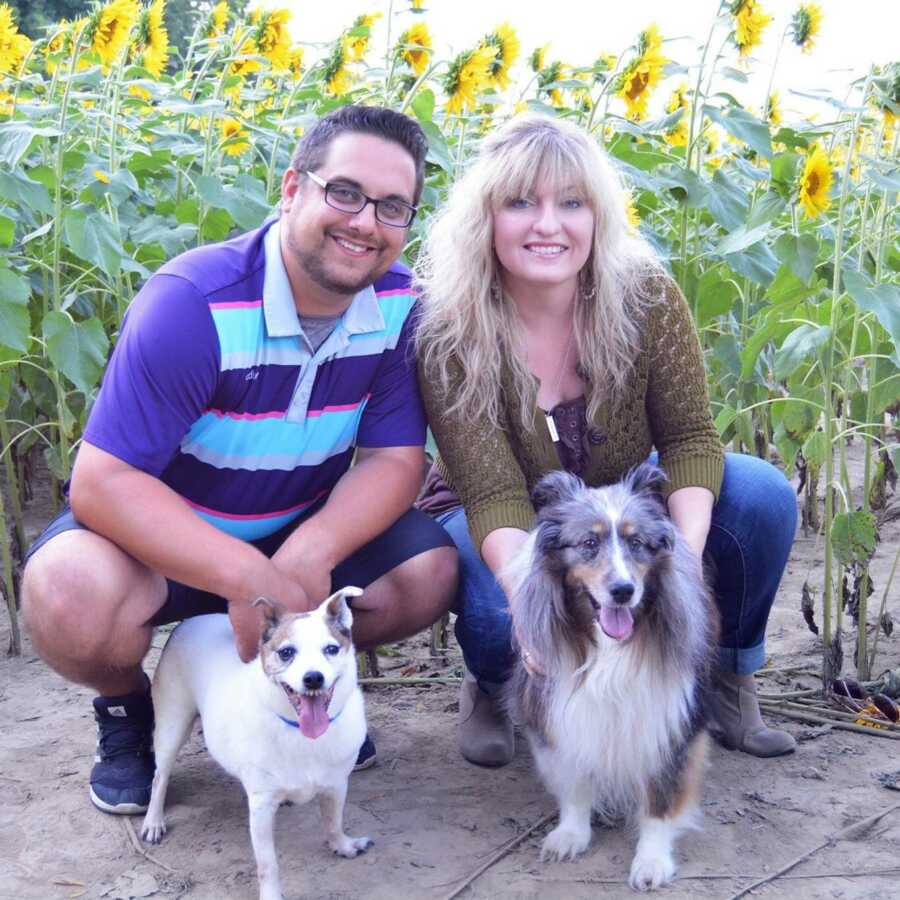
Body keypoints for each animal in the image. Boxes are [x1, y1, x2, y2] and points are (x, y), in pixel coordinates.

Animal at [140, 588, 370, 900]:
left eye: (331, 649)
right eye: (286, 653)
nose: (313, 678)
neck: (301, 733)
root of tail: (189, 622)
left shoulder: (336, 786)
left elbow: (333, 822)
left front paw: (342, 845)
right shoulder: (261, 809)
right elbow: (267, 863)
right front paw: (271, 894)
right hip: (171, 727)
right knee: (159, 777)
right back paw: (153, 821)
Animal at [506, 468, 716, 888]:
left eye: (637, 543)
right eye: (589, 543)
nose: (623, 590)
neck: (606, 647)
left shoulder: (668, 722)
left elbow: (660, 798)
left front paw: (652, 860)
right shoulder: (560, 716)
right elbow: (573, 781)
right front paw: (571, 834)